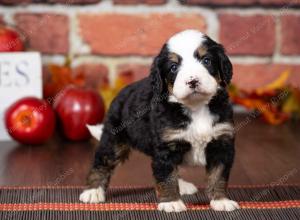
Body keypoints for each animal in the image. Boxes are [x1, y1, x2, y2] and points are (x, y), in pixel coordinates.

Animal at [79, 30, 239, 212]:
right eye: (173, 67)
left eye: (206, 60)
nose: (192, 81)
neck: (196, 107)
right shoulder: (166, 147)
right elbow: (166, 176)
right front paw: (171, 202)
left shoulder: (222, 143)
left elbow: (218, 175)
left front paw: (221, 200)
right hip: (114, 139)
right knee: (102, 162)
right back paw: (92, 191)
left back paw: (182, 185)